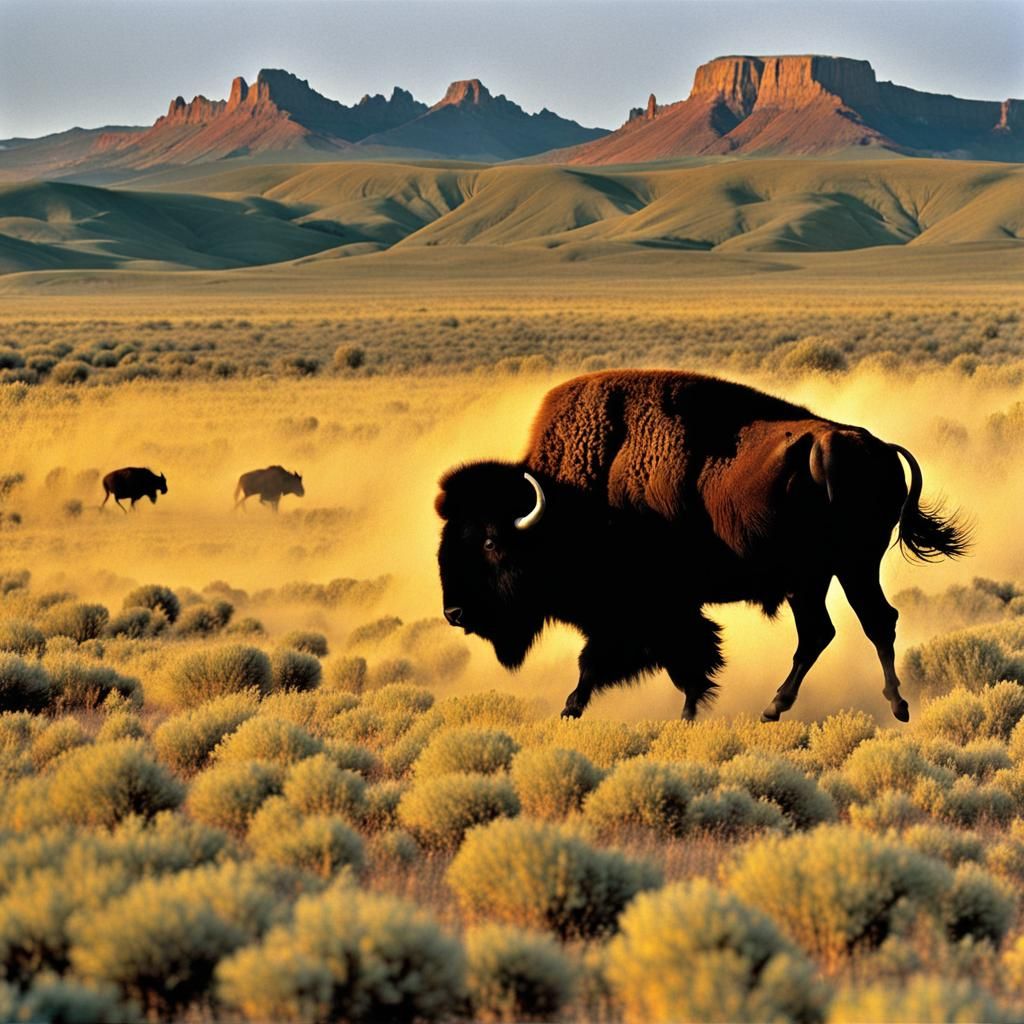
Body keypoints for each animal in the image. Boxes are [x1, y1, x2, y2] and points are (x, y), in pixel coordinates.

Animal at [436, 370, 969, 723]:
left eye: (491, 540)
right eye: (448, 540)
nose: (454, 613)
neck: (574, 496)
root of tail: (879, 448)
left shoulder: (653, 610)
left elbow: (647, 658)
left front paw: (585, 709)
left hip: (849, 566)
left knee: (871, 622)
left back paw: (893, 706)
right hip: (818, 577)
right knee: (826, 631)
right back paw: (776, 708)